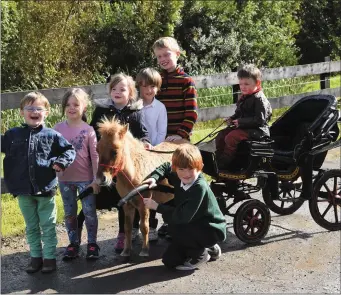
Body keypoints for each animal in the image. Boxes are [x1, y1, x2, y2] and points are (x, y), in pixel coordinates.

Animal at [95, 117, 186, 256]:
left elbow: (144, 226)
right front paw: (126, 250)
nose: (101, 179)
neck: (135, 171)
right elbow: (127, 227)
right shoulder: (127, 204)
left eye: (115, 151)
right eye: (97, 149)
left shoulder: (144, 204)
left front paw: (144, 250)